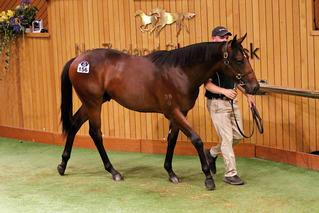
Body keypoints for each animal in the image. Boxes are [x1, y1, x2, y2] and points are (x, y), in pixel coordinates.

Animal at [58, 34, 262, 191]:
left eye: (247, 57)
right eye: (239, 60)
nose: (254, 87)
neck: (180, 72)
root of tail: (77, 60)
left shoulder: (180, 113)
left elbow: (172, 139)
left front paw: (171, 172)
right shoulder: (173, 111)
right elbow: (196, 139)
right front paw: (208, 178)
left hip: (92, 102)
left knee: (75, 125)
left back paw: (62, 165)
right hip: (93, 103)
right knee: (95, 133)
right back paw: (113, 171)